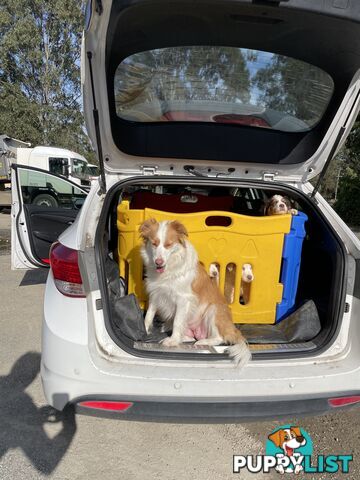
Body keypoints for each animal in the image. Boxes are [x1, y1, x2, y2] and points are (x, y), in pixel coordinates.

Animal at [140, 219, 250, 370]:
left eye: (168, 244)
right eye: (154, 243)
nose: (158, 262)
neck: (169, 268)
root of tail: (232, 329)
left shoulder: (183, 299)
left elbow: (177, 321)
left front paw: (172, 341)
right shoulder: (155, 294)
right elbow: (148, 316)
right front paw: (144, 330)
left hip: (213, 310)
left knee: (219, 338)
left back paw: (202, 341)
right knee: (188, 335)